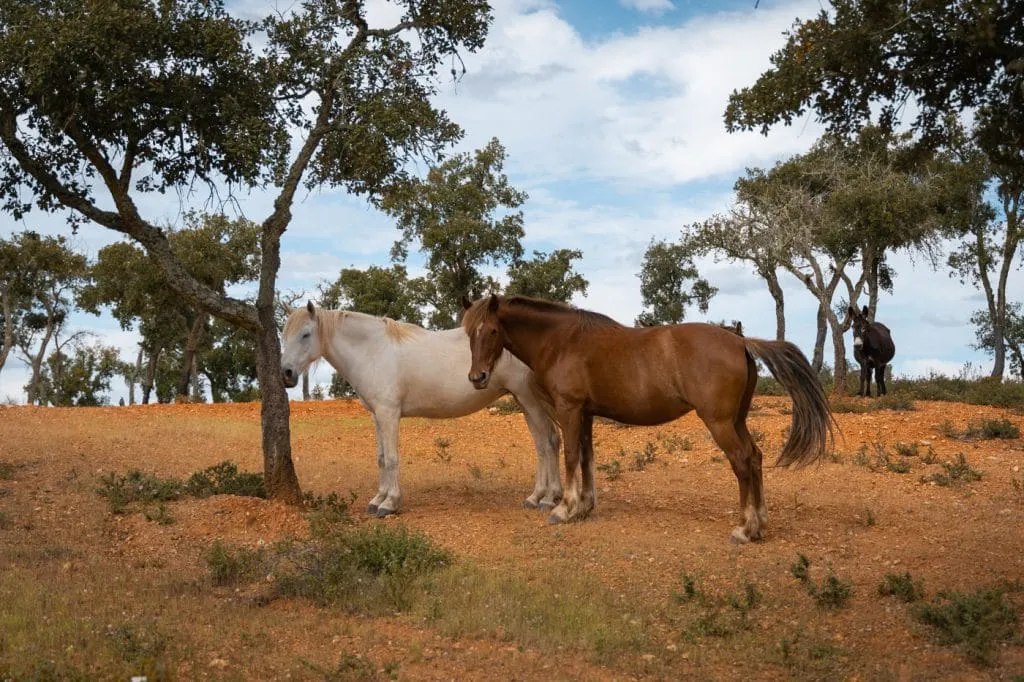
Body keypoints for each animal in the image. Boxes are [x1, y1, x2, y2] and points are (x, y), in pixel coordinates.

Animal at [280, 301, 562, 517]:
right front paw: (377, 499)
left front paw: (389, 503)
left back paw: (548, 499)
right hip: (524, 402)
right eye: (283, 335)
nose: (287, 374)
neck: (373, 351)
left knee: (549, 442)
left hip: (530, 400)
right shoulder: (376, 415)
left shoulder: (389, 414)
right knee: (542, 445)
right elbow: (381, 458)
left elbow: (392, 458)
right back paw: (538, 497)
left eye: (305, 334)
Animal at [462, 295, 836, 544]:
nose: (477, 377)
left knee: (742, 461)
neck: (562, 341)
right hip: (737, 420)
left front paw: (564, 509)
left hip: (719, 422)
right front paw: (584, 507)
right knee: (755, 458)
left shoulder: (569, 410)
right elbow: (586, 459)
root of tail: (741, 340)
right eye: (470, 334)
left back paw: (745, 529)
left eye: (492, 331)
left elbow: (570, 457)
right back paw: (760, 524)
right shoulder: (586, 414)